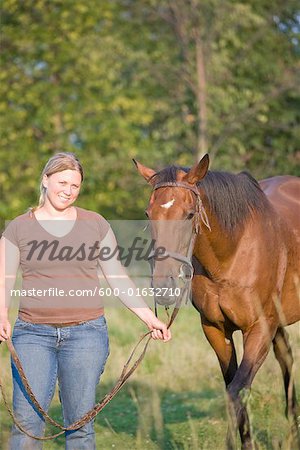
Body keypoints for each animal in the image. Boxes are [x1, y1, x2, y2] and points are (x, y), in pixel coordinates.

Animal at [134, 153, 300, 448]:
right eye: (148, 214)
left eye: (189, 214)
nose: (163, 286)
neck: (232, 254)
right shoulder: (215, 329)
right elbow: (233, 386)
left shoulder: (258, 329)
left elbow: (237, 392)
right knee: (286, 358)